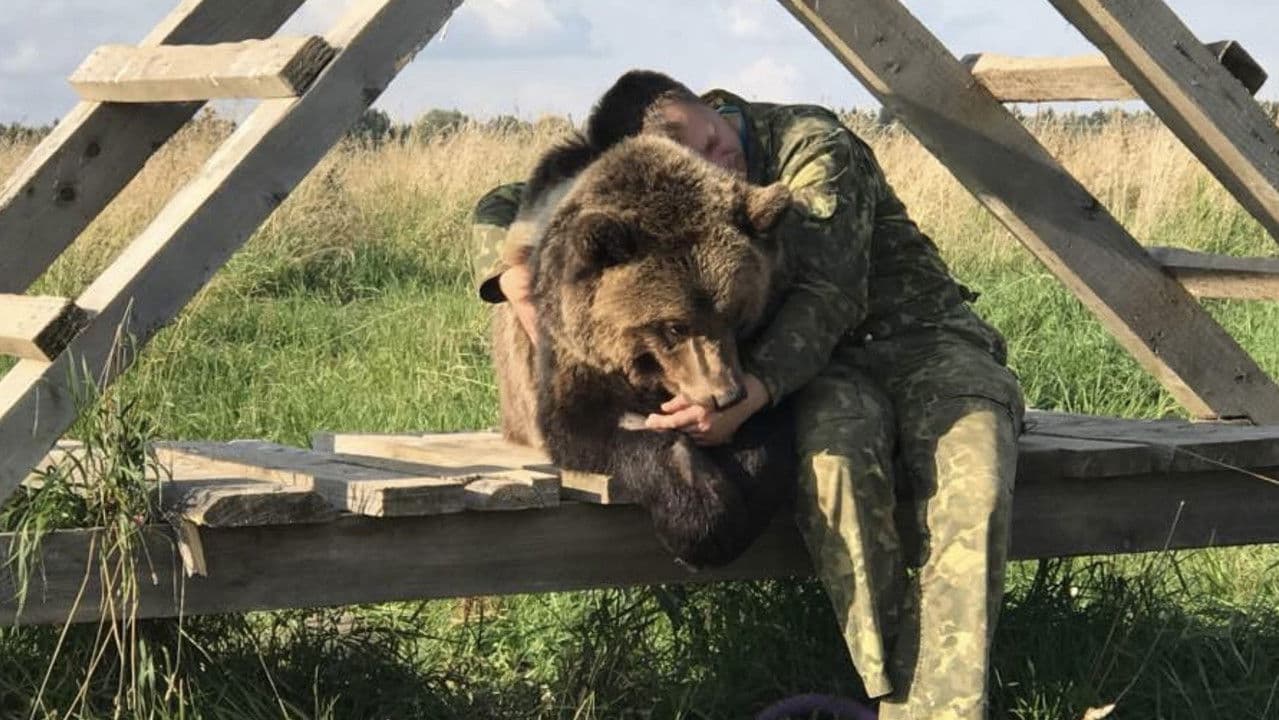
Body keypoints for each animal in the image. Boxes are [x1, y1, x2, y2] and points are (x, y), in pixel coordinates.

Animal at [491, 131, 797, 569]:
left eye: (736, 316)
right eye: (674, 326)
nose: (724, 395)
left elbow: (767, 426)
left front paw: (741, 497)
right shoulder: (574, 360)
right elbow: (601, 431)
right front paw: (703, 521)